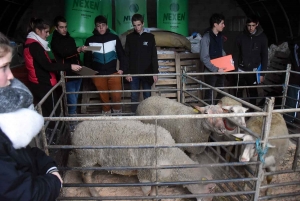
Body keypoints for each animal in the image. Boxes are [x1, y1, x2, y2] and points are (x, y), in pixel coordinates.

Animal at [71, 120, 217, 200]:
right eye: (210, 188)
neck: (172, 159)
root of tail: (77, 127)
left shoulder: (155, 177)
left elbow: (153, 191)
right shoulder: (145, 175)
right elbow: (146, 192)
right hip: (87, 158)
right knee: (86, 177)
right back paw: (95, 193)